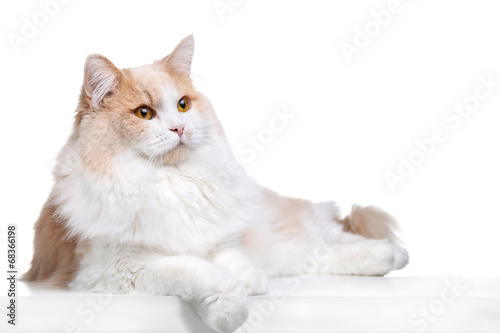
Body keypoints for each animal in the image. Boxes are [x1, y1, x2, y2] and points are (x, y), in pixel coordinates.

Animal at [21, 35, 408, 332]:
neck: (170, 181)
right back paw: (388, 256)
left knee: (327, 233)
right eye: (144, 113)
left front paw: (251, 282)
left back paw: (393, 253)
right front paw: (232, 303)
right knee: (320, 247)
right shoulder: (116, 270)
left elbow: (228, 257)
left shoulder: (220, 234)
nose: (179, 128)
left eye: (183, 105)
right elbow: (197, 270)